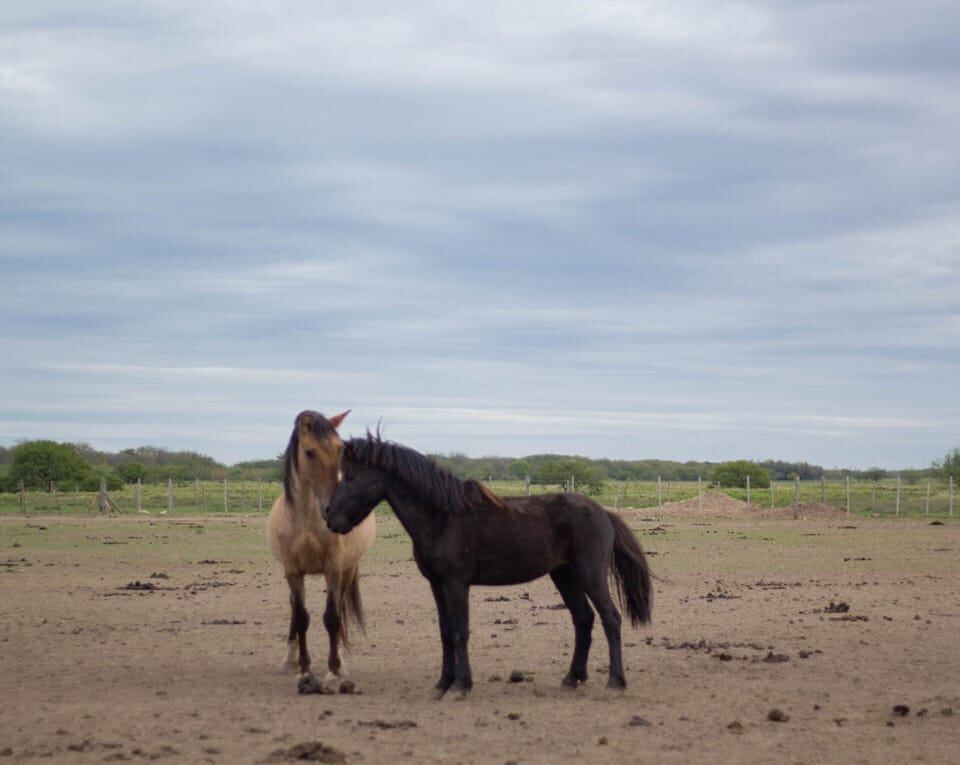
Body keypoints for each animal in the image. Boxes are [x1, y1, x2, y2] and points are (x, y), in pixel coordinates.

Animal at [270, 412, 378, 692]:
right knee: (294, 609)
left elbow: (331, 618)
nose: (334, 509)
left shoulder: (333, 569)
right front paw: (304, 671)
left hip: (347, 571)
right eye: (309, 452)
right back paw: (288, 660)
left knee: (339, 610)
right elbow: (301, 617)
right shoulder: (293, 571)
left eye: (340, 449)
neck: (307, 520)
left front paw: (333, 672)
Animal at [324, 432, 652, 696]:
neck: (442, 517)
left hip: (590, 573)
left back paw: (615, 682)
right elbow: (445, 632)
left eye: (350, 476)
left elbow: (460, 631)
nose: (329, 516)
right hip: (564, 575)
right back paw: (572, 678)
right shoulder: (436, 585)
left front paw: (460, 686)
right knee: (583, 618)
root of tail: (603, 512)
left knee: (610, 618)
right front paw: (443, 684)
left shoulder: (456, 584)